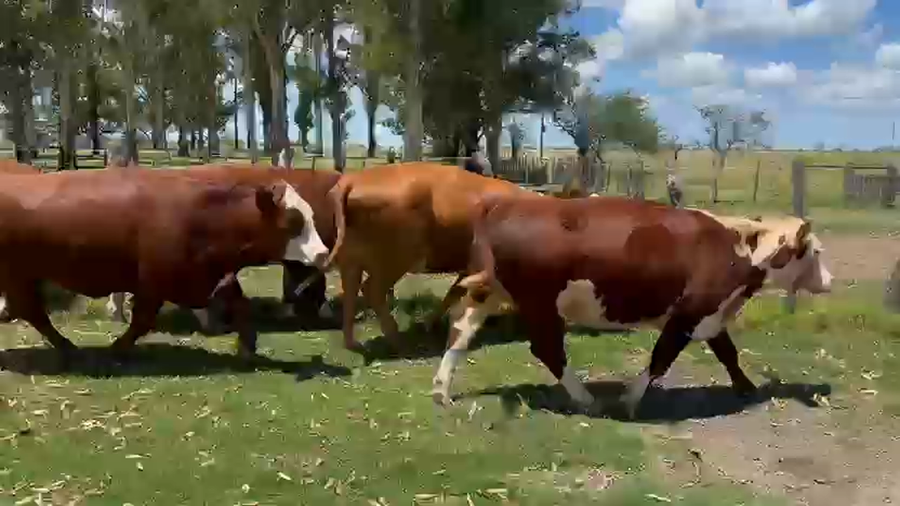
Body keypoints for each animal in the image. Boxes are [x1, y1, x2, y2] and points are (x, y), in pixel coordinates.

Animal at [324, 162, 540, 353]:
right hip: (395, 259)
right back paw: (400, 344)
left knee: (350, 291)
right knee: (372, 290)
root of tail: (352, 180)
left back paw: (353, 344)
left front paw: (431, 324)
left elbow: (454, 292)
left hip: (351, 259)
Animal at [430, 195, 833, 418]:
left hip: (487, 292)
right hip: (539, 302)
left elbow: (727, 352)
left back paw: (441, 390)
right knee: (547, 349)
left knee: (460, 332)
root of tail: (504, 203)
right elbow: (661, 358)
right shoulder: (688, 314)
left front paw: (746, 387)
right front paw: (629, 399)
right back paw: (587, 400)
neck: (737, 246)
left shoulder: (711, 314)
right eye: (815, 251)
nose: (830, 280)